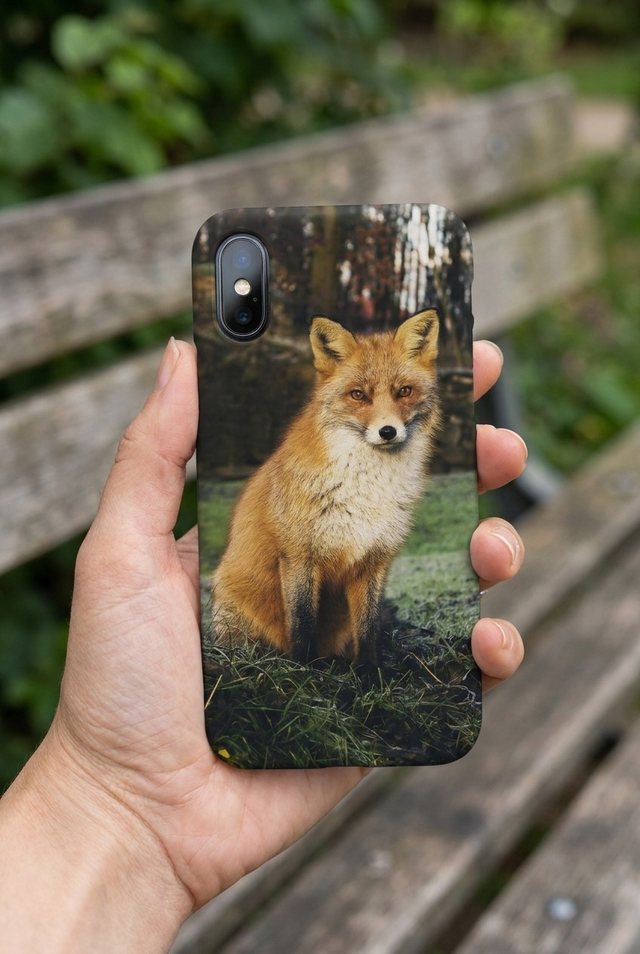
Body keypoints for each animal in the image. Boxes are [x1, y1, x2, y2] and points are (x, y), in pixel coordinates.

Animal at [210, 308, 441, 664]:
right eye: (358, 394)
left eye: (404, 391)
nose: (388, 431)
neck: (365, 491)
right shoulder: (298, 556)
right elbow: (303, 623)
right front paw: (305, 670)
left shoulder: (374, 560)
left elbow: (368, 627)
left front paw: (370, 671)